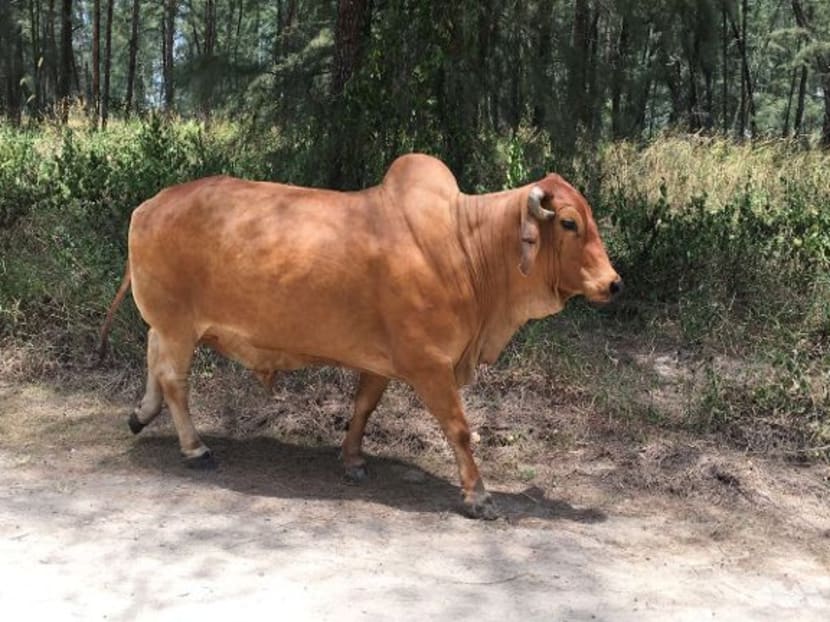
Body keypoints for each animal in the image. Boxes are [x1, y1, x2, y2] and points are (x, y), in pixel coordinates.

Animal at [99, 153, 621, 519]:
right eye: (569, 223)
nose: (613, 284)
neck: (466, 245)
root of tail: (150, 204)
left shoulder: (382, 361)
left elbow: (363, 408)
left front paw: (351, 460)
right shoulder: (429, 363)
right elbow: (459, 428)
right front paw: (478, 495)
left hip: (168, 325)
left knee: (153, 359)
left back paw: (141, 414)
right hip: (177, 325)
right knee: (175, 382)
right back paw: (195, 448)